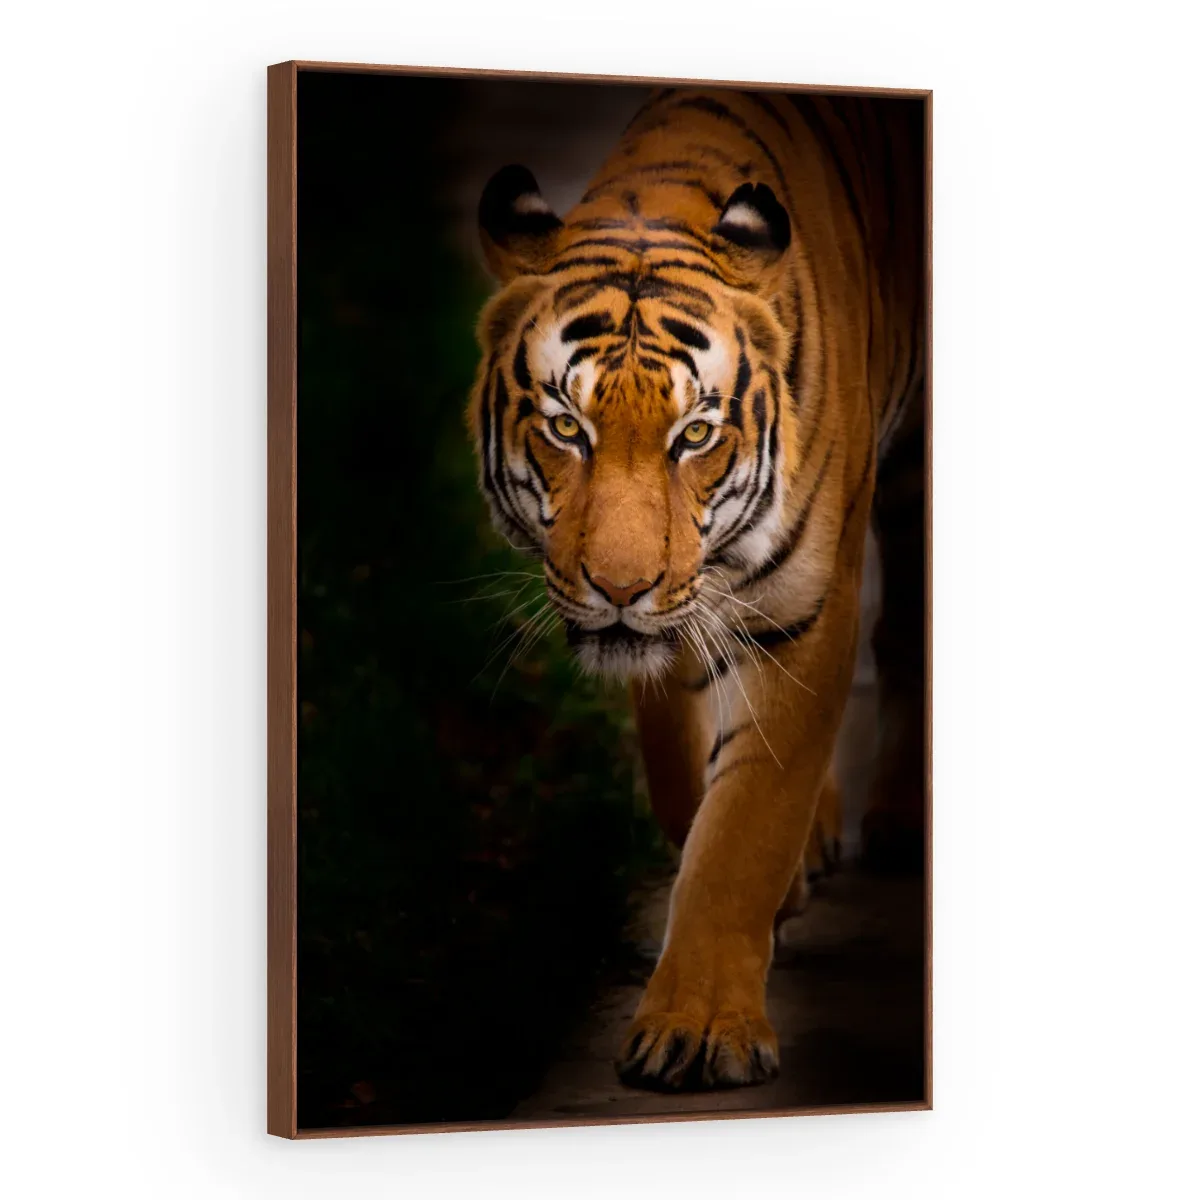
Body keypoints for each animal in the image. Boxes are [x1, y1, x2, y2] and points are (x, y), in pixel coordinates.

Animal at [468, 85, 927, 1091]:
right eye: (567, 427)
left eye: (695, 435)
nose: (621, 586)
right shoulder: (667, 633)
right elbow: (689, 784)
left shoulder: (807, 614)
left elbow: (747, 824)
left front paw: (700, 1029)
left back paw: (895, 820)